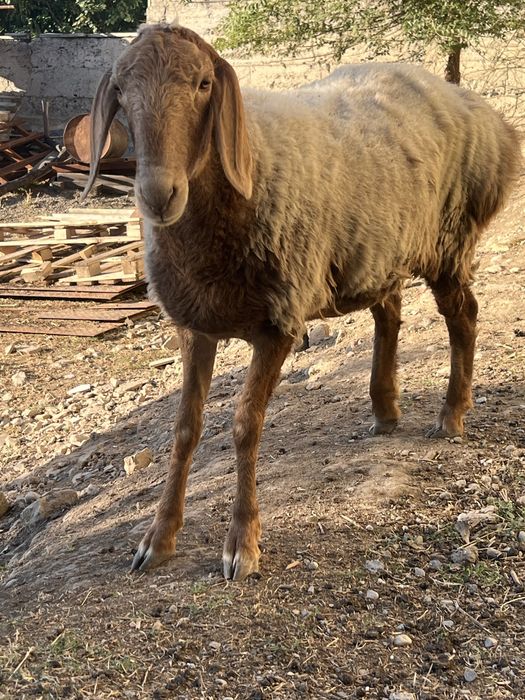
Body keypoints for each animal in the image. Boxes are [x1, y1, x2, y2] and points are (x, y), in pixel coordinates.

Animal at [82, 23, 520, 581]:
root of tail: (474, 105)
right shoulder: (195, 324)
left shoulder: (279, 322)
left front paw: (242, 544)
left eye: (203, 84)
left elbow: (245, 425)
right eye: (120, 90)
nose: (158, 196)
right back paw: (384, 409)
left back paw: (451, 416)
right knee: (390, 312)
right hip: (376, 245)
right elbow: (184, 430)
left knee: (463, 318)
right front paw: (158, 539)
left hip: (448, 239)